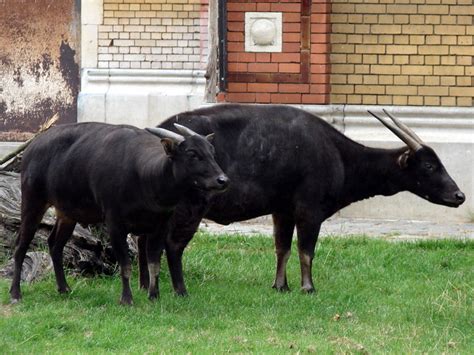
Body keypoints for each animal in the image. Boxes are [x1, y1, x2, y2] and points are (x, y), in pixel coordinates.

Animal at [9, 122, 228, 306]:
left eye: (212, 152)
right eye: (192, 153)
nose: (223, 180)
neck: (146, 179)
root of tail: (31, 147)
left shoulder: (160, 227)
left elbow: (154, 263)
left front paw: (154, 296)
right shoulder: (115, 224)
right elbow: (125, 265)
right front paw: (127, 299)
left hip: (67, 213)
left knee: (55, 245)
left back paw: (64, 288)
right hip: (32, 201)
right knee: (20, 245)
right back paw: (15, 294)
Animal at [139, 104, 464, 296]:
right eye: (429, 166)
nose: (459, 195)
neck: (337, 154)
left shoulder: (282, 211)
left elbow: (281, 248)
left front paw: (280, 285)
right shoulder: (310, 211)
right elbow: (306, 251)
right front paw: (308, 287)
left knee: (144, 242)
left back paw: (145, 286)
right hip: (188, 209)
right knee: (171, 246)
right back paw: (178, 289)